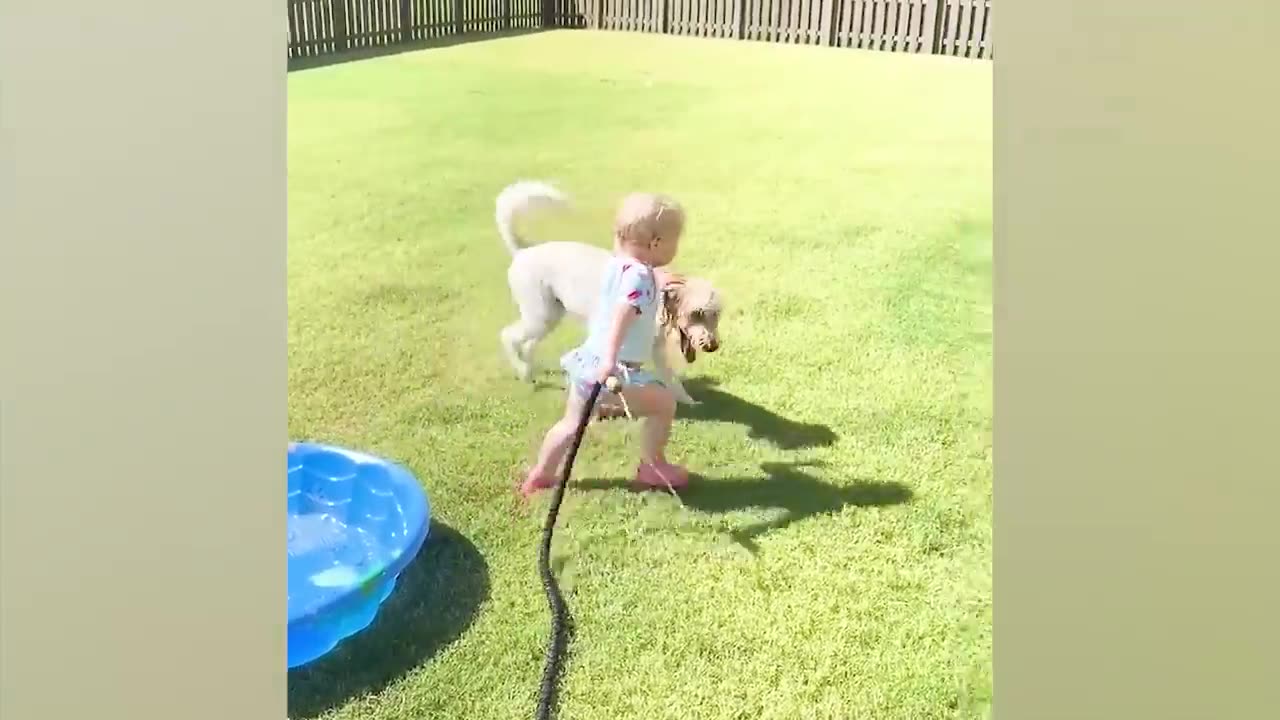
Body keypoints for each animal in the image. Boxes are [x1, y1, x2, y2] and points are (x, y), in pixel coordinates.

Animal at [494, 179, 727, 404]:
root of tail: (523, 251)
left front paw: (687, 400)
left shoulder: (656, 349)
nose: (713, 346)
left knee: (527, 344)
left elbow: (671, 378)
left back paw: (529, 369)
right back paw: (523, 370)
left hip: (549, 315)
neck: (660, 296)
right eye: (696, 313)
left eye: (716, 315)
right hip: (539, 313)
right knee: (508, 336)